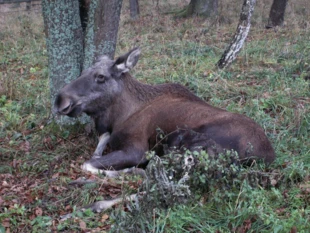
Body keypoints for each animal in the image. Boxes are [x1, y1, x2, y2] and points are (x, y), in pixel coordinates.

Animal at [54, 47, 274, 173]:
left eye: (101, 76)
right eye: (83, 71)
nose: (60, 100)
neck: (118, 116)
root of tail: (267, 155)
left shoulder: (136, 149)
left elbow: (87, 164)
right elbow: (95, 155)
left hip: (183, 142)